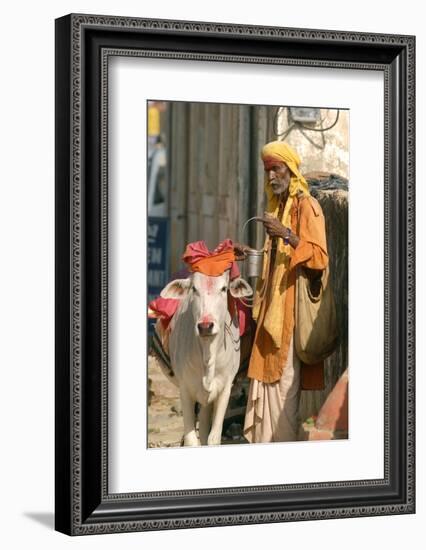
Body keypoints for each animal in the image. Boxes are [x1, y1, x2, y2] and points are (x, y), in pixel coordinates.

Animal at [160, 272, 253, 448]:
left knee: (204, 428)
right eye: (194, 289)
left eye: (224, 288)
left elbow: (213, 438)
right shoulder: (185, 390)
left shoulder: (225, 389)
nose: (205, 326)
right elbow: (191, 440)